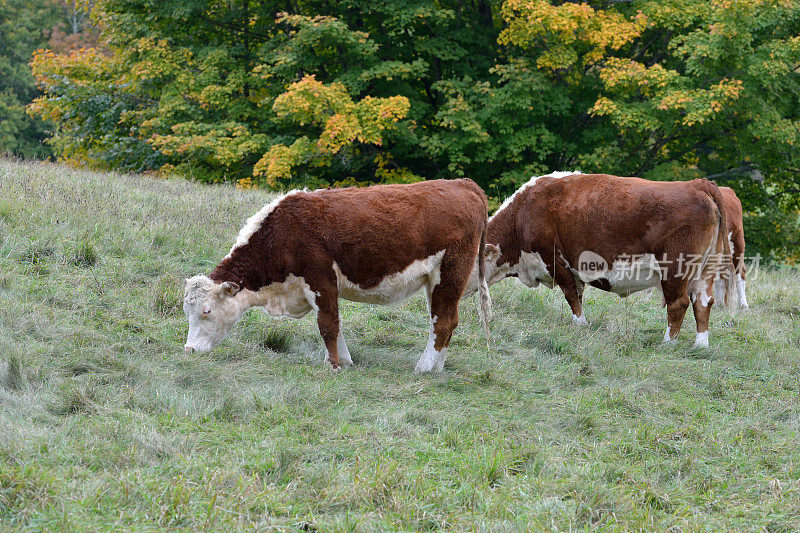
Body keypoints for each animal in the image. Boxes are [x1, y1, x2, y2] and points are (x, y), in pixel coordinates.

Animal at [184, 179, 490, 370]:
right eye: (187, 311)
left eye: (207, 311)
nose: (189, 349)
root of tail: (463, 184)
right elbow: (336, 324)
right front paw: (344, 361)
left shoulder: (320, 278)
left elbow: (328, 325)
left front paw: (333, 366)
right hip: (437, 281)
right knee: (446, 320)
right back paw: (436, 367)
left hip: (450, 273)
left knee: (443, 321)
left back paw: (424, 368)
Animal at [472, 172, 740, 348]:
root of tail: (697, 184)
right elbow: (578, 294)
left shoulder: (557, 261)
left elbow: (571, 295)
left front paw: (580, 325)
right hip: (705, 269)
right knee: (703, 301)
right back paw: (700, 345)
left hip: (675, 267)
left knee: (679, 303)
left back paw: (667, 343)